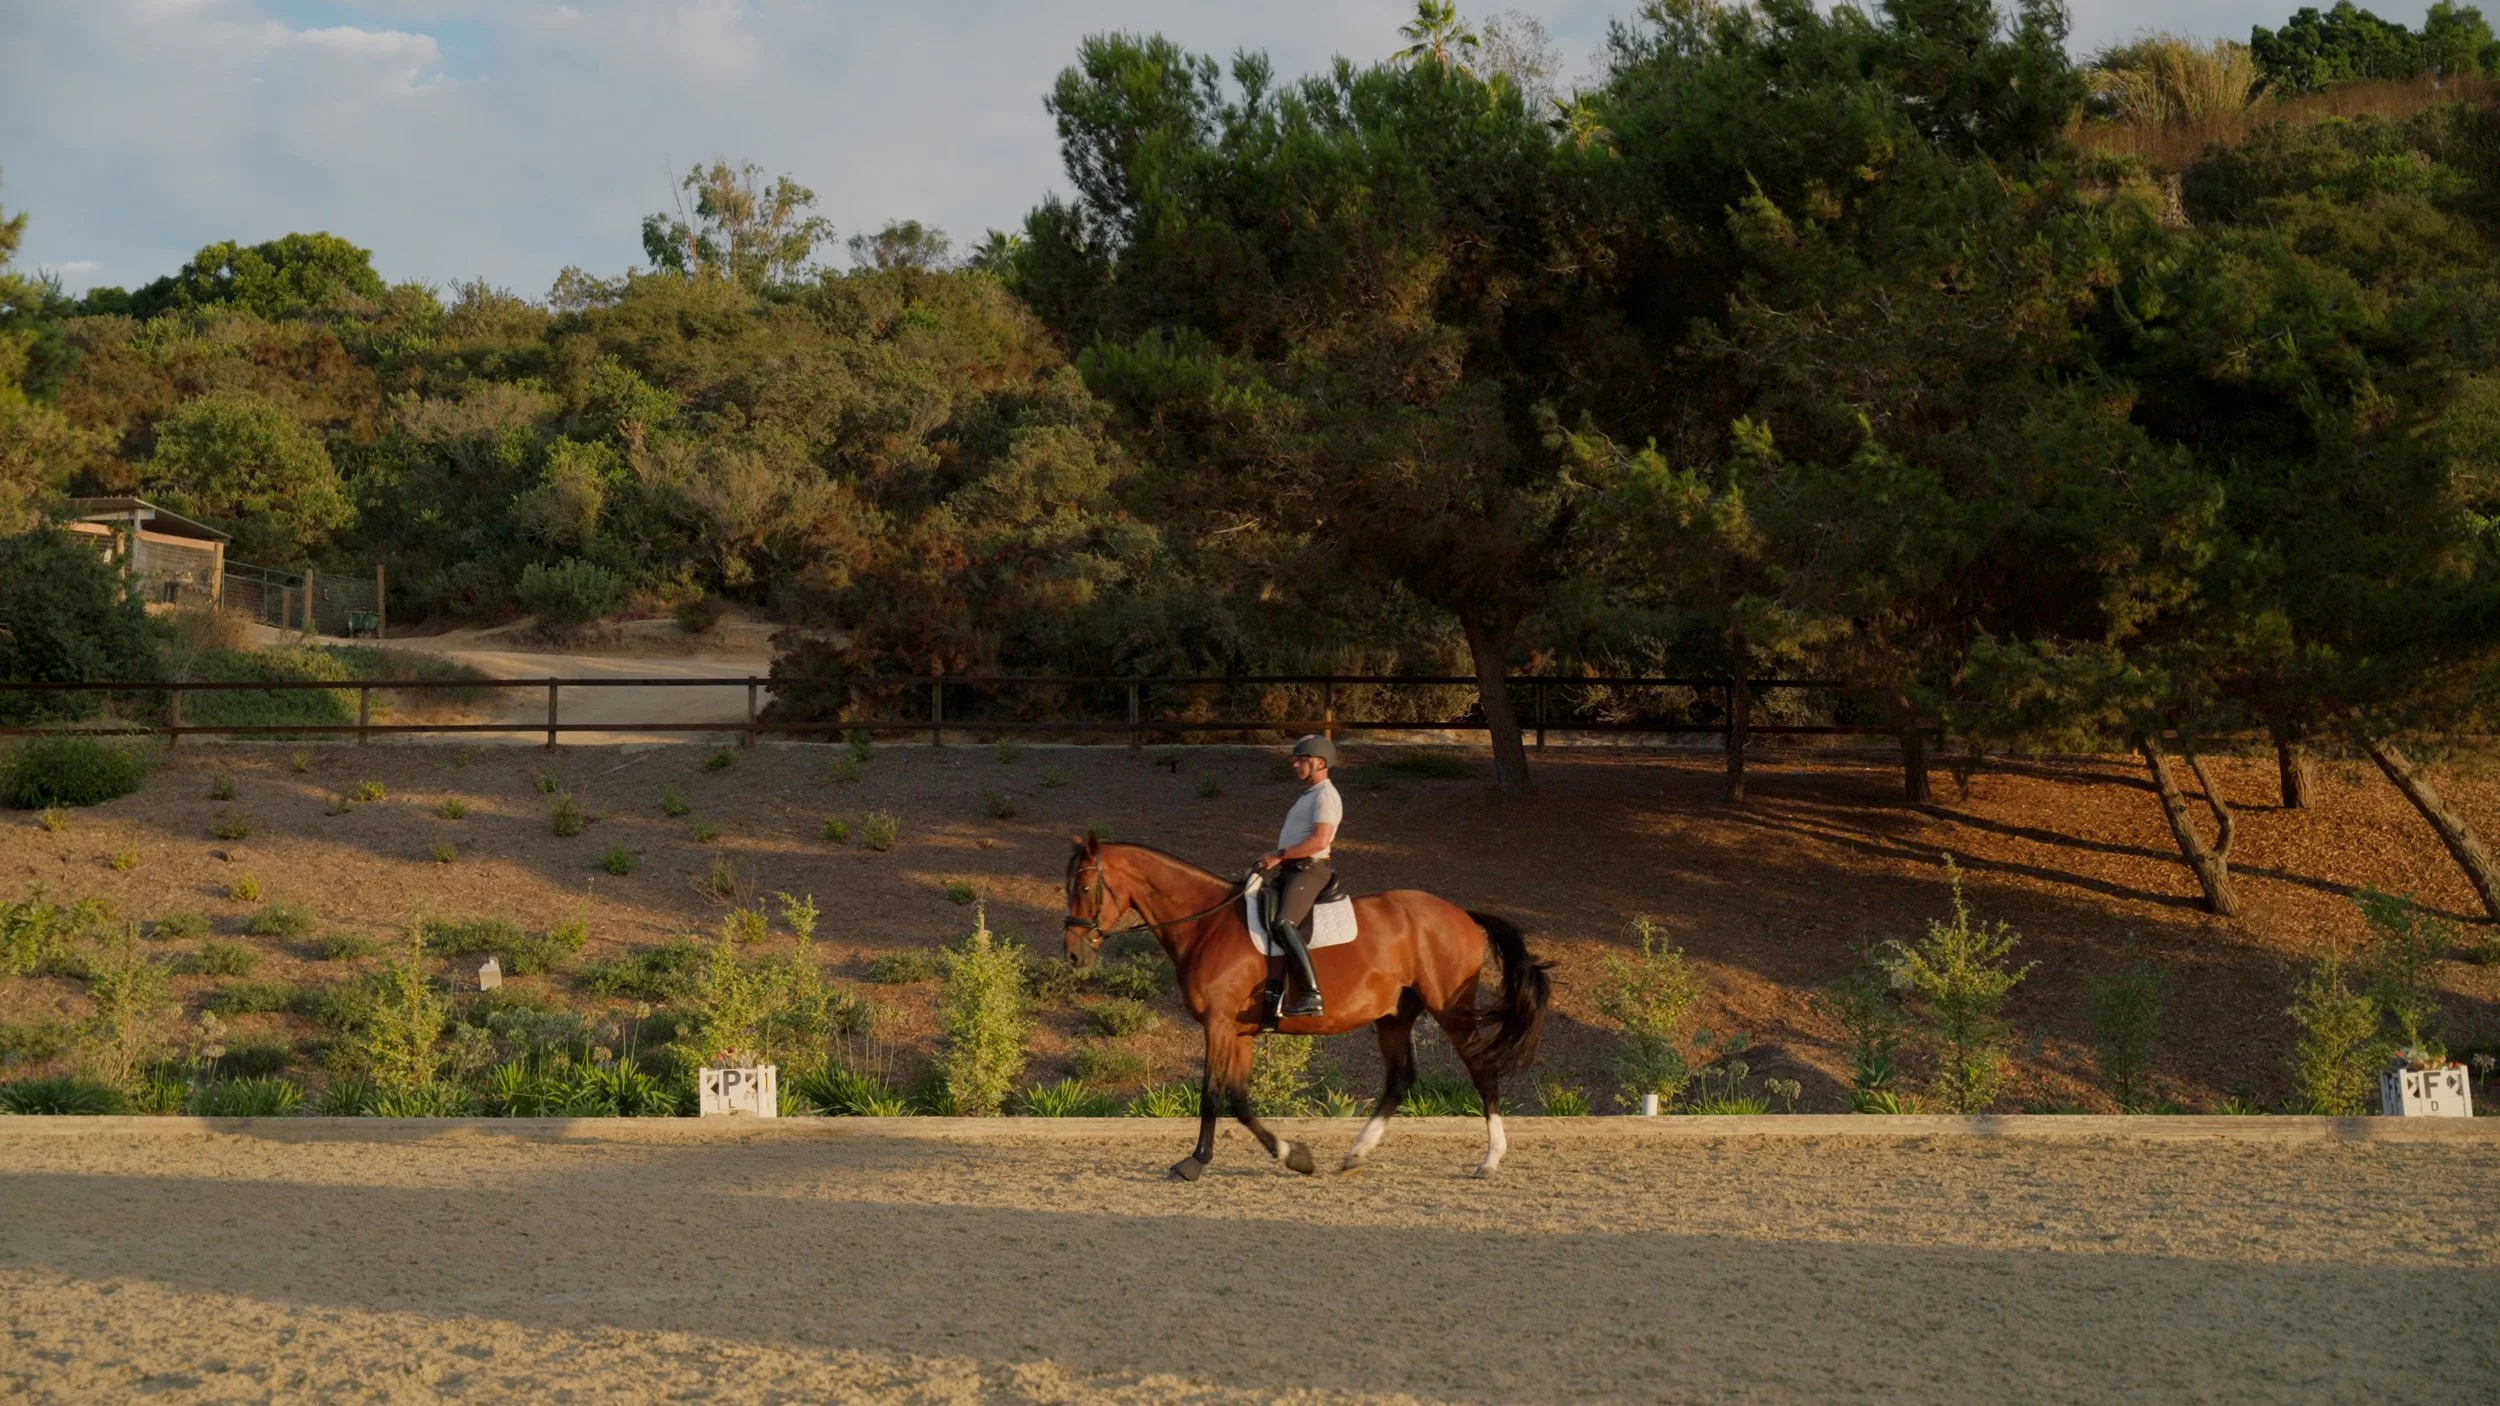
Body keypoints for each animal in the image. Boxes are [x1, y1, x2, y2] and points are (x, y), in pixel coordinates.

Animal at [1061, 835, 1552, 1180]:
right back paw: (1355, 1153)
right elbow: (1239, 1099)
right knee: (1399, 1079)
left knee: (1481, 1067)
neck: (1206, 924)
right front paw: (1294, 1155)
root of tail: (1461, 914)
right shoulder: (1238, 1031)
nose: (1073, 955)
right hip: (1394, 1016)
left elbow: (1211, 1094)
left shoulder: (1218, 1024)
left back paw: (1490, 1159)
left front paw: (1194, 1162)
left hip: (1450, 1009)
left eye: (1084, 886)